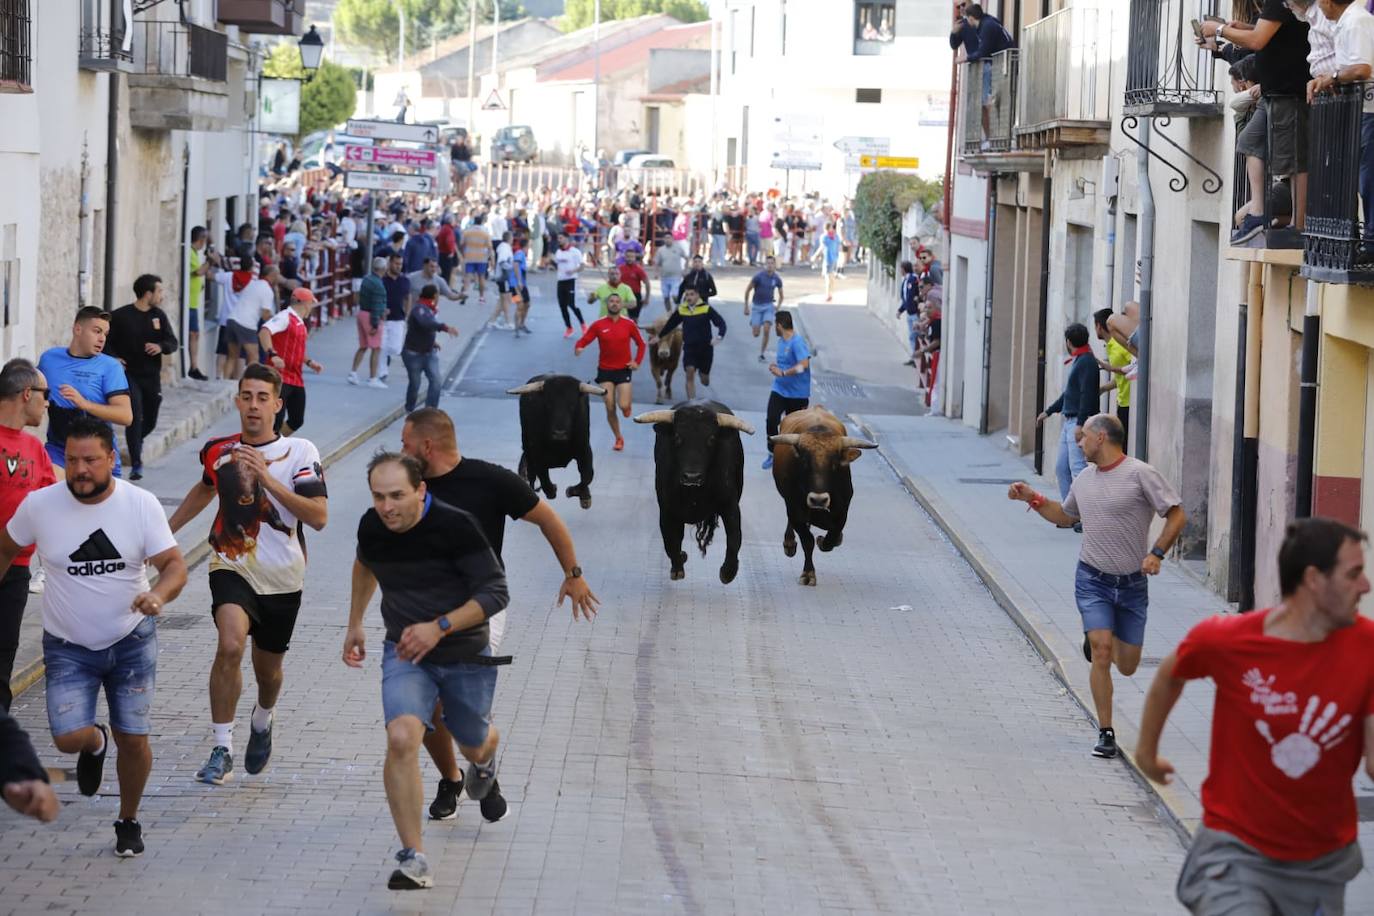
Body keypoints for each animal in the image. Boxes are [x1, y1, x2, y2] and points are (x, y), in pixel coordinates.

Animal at [508, 376, 604, 513]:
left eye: (572, 405)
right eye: (548, 405)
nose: (560, 433)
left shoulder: (584, 448)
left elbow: (587, 474)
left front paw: (580, 495)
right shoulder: (536, 452)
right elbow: (543, 475)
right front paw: (551, 490)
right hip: (526, 445)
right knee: (531, 474)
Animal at [629, 403, 752, 587]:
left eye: (711, 439)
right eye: (677, 437)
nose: (692, 477)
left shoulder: (730, 505)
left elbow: (734, 537)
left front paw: (728, 572)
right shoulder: (667, 510)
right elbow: (670, 541)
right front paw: (678, 566)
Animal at [769, 406, 873, 587]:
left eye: (835, 464)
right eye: (804, 461)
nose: (818, 499)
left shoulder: (842, 511)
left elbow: (833, 535)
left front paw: (826, 541)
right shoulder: (795, 509)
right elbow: (808, 541)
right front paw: (808, 573)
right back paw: (789, 543)